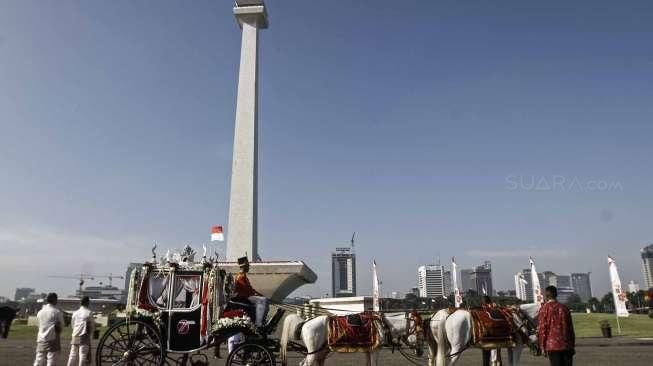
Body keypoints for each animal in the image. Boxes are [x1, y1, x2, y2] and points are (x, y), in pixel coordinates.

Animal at [278, 312, 422, 366]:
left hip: (320, 351)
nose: (420, 352)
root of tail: (306, 322)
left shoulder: (368, 350)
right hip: (314, 351)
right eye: (419, 332)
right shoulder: (374, 350)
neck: (383, 325)